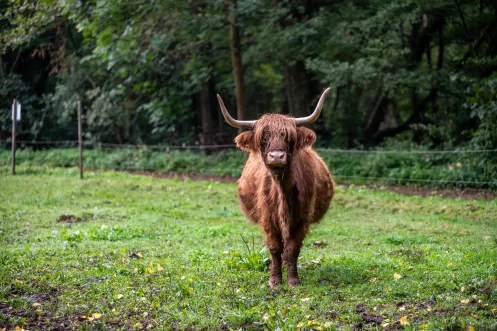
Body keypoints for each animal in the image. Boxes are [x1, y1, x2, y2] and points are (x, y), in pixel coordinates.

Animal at [216, 89, 336, 288]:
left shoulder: (302, 218)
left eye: (289, 138)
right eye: (263, 138)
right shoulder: (268, 219)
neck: (282, 192)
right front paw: (274, 280)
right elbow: (274, 247)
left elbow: (292, 248)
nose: (277, 156)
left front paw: (293, 280)